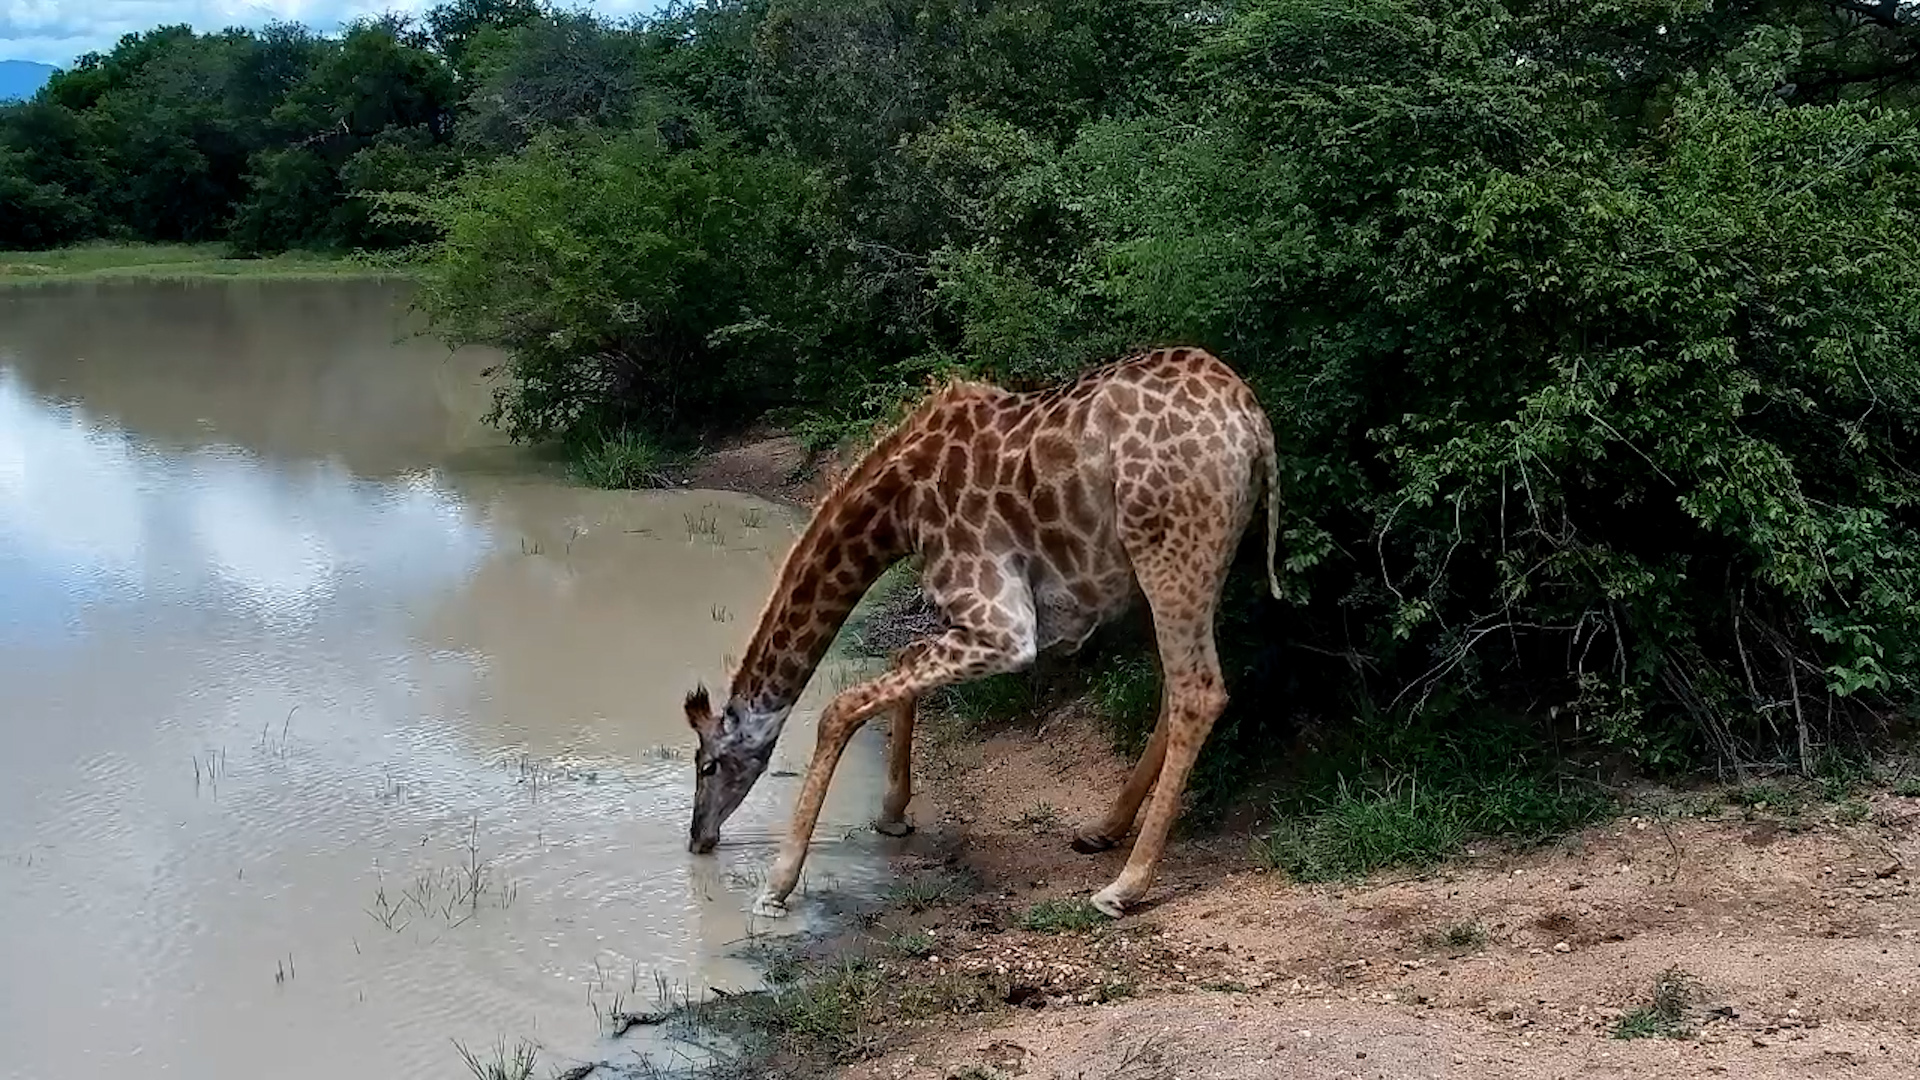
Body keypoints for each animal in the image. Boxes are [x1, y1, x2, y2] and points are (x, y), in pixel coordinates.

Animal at [683, 346, 1282, 919]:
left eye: (707, 764)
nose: (697, 838)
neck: (898, 508)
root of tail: (1253, 422)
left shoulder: (1006, 625)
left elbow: (841, 707)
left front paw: (778, 884)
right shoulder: (1029, 618)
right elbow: (904, 657)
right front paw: (892, 812)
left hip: (1167, 549)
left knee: (1199, 692)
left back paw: (1124, 886)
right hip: (1195, 565)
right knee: (1175, 689)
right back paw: (1101, 830)